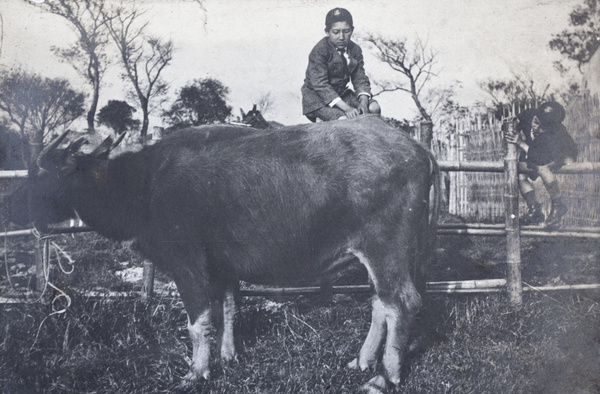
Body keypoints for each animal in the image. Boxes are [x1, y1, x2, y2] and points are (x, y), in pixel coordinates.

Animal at [1, 115, 440, 392]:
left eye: (42, 173)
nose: (12, 203)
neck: (143, 183)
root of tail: (418, 150)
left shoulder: (187, 265)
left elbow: (199, 322)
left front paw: (196, 372)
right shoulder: (223, 266)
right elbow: (228, 307)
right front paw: (228, 355)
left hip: (386, 249)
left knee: (402, 302)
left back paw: (385, 376)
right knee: (380, 304)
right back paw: (362, 361)